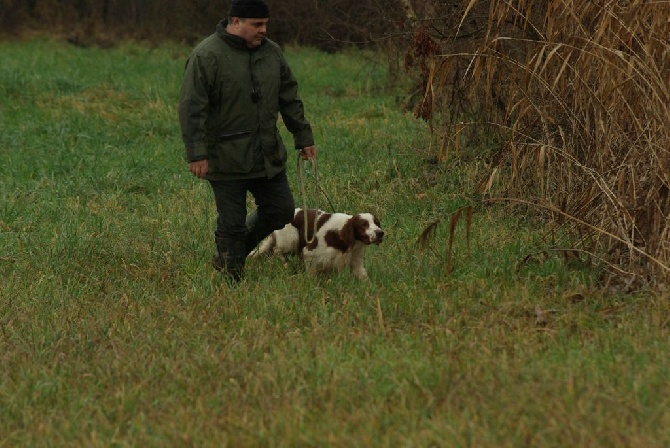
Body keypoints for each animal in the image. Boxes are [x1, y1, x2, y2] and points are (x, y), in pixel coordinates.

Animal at [249, 207, 386, 280]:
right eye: (364, 225)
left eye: (377, 223)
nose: (380, 233)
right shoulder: (310, 252)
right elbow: (311, 273)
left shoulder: (355, 260)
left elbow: (363, 276)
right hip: (291, 240)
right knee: (277, 250)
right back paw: (286, 264)